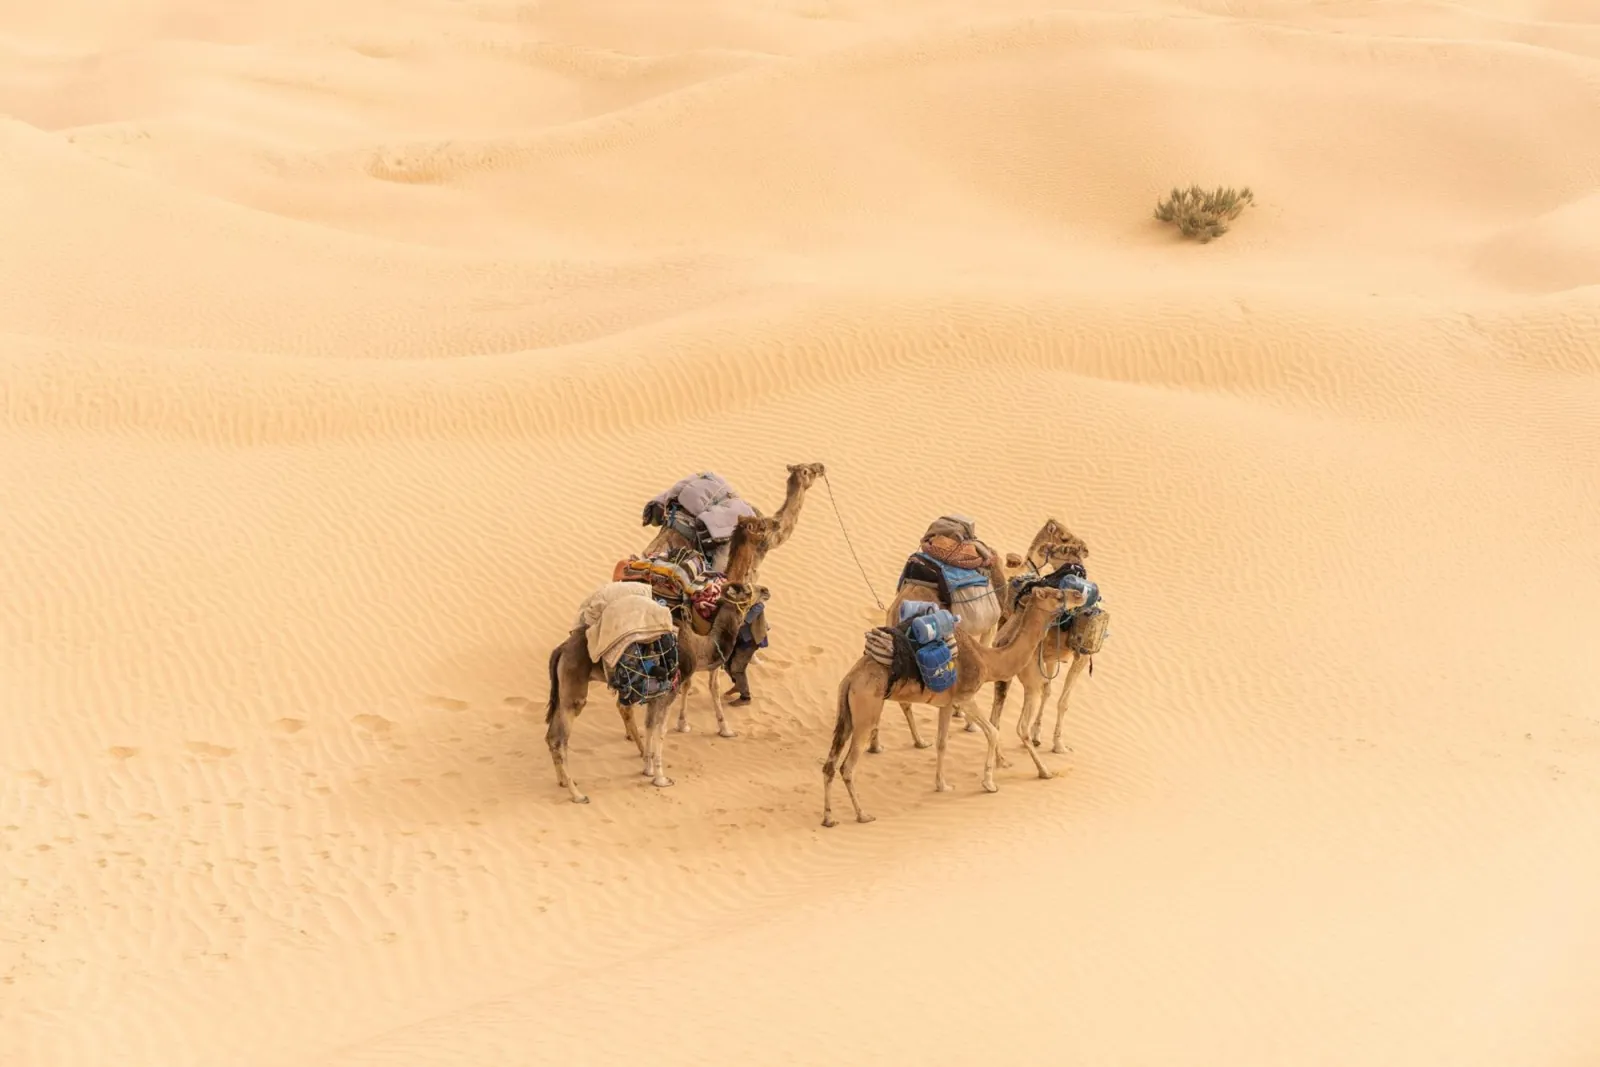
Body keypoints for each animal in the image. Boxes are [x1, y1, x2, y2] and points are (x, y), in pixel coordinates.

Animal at [820, 582, 1084, 827]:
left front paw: (942, 785)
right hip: (866, 712)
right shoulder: (965, 697)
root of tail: (849, 679)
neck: (988, 661)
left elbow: (942, 743)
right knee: (847, 766)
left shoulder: (946, 704)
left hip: (848, 713)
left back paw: (829, 818)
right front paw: (990, 783)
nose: (1079, 594)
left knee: (830, 764)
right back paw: (863, 815)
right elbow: (993, 732)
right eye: (1057, 594)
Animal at [870, 518, 1088, 751]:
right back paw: (916, 741)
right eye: (1064, 538)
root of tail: (898, 606)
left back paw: (879, 744)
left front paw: (958, 711)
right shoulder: (990, 627)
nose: (1085, 548)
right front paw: (969, 723)